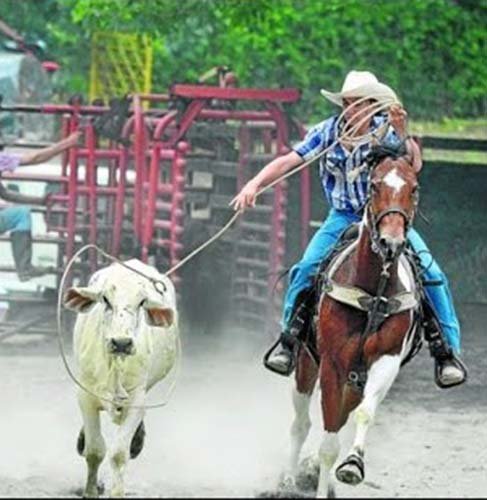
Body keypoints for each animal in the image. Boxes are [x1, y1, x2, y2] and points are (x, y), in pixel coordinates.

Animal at [288, 147, 422, 496]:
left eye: (414, 188)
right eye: (374, 185)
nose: (391, 243)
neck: (373, 291)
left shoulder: (386, 361)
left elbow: (363, 415)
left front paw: (352, 466)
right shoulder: (332, 365)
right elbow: (328, 442)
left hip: (354, 381)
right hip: (306, 363)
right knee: (301, 423)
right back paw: (288, 480)